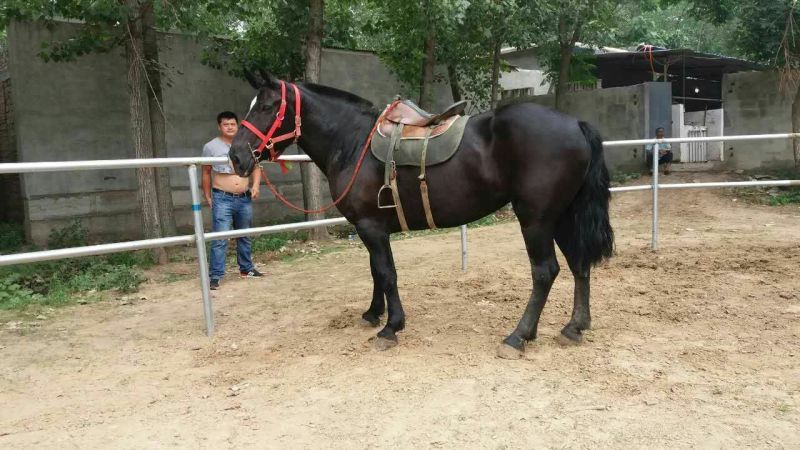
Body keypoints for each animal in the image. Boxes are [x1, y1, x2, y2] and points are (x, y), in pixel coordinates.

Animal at [228, 72, 613, 358]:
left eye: (267, 106)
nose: (235, 157)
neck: (353, 142)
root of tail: (575, 124)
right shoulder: (371, 228)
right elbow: (376, 272)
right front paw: (373, 314)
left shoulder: (371, 227)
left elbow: (387, 274)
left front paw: (391, 327)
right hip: (562, 216)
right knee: (579, 265)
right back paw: (574, 327)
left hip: (536, 219)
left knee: (545, 272)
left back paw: (518, 336)